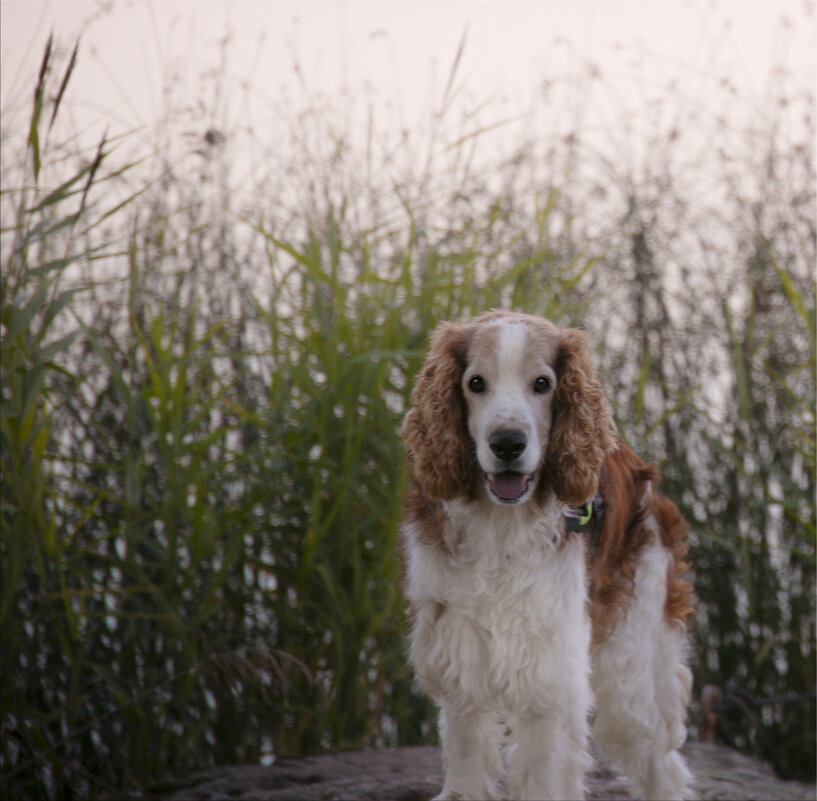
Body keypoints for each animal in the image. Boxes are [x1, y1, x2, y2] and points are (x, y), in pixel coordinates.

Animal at [398, 312, 692, 800]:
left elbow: (544, 770)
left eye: (542, 383)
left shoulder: (548, 668)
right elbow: (467, 759)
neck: (500, 525)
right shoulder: (461, 653)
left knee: (662, 765)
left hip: (632, 673)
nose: (507, 443)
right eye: (475, 383)